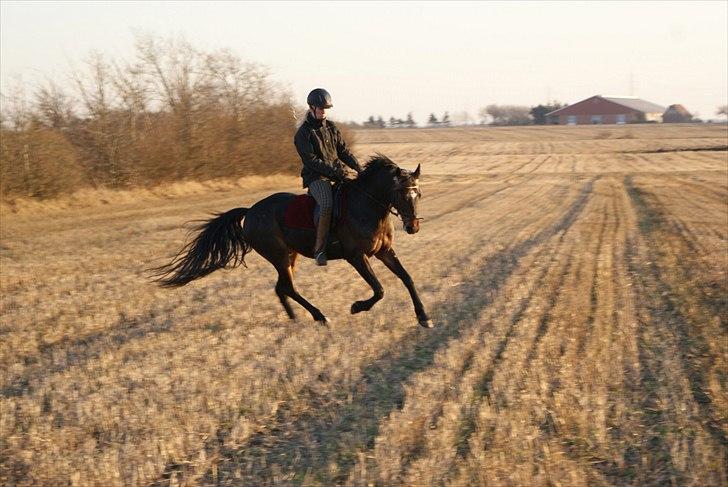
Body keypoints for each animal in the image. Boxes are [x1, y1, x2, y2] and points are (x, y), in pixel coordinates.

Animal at [149, 152, 432, 328]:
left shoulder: (385, 252)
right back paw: (320, 317)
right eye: (401, 194)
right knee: (288, 287)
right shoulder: (356, 257)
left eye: (418, 195)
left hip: (289, 255)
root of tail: (250, 211)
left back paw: (295, 317)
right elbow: (379, 289)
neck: (367, 206)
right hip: (278, 255)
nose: (413, 227)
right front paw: (356, 307)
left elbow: (407, 278)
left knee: (282, 288)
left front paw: (423, 317)